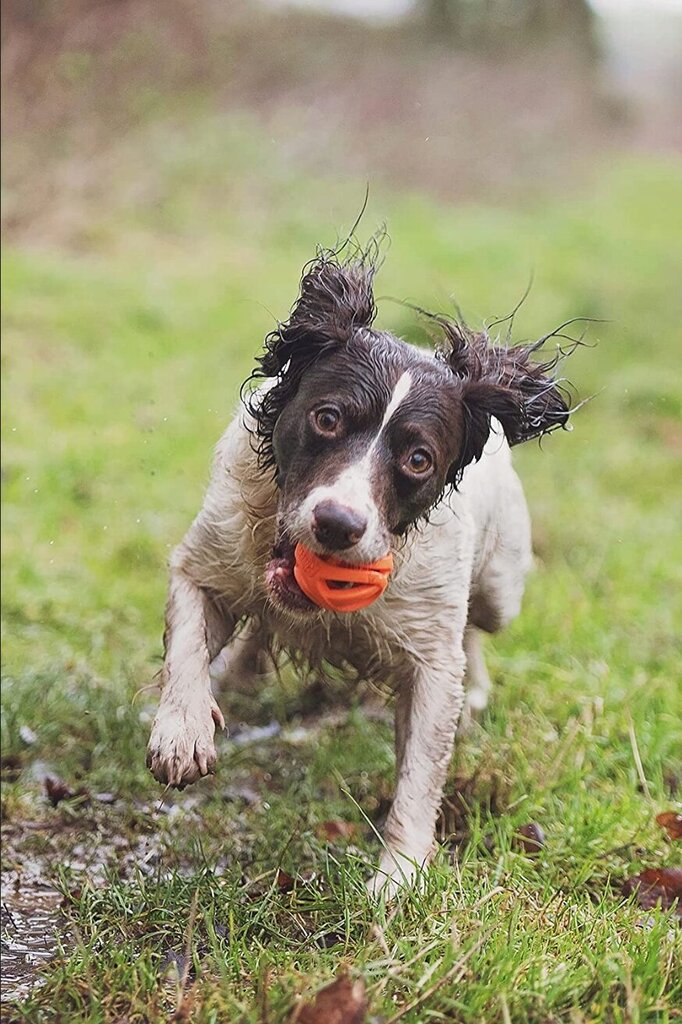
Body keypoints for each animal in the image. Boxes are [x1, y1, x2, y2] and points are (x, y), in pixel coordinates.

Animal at [146, 245, 569, 897]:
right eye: (327, 419)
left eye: (417, 459)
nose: (338, 524)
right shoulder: (207, 562)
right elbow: (188, 641)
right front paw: (183, 732)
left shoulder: (430, 660)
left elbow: (421, 771)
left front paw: (397, 879)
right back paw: (242, 672)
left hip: (502, 587)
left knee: (478, 627)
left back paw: (475, 690)